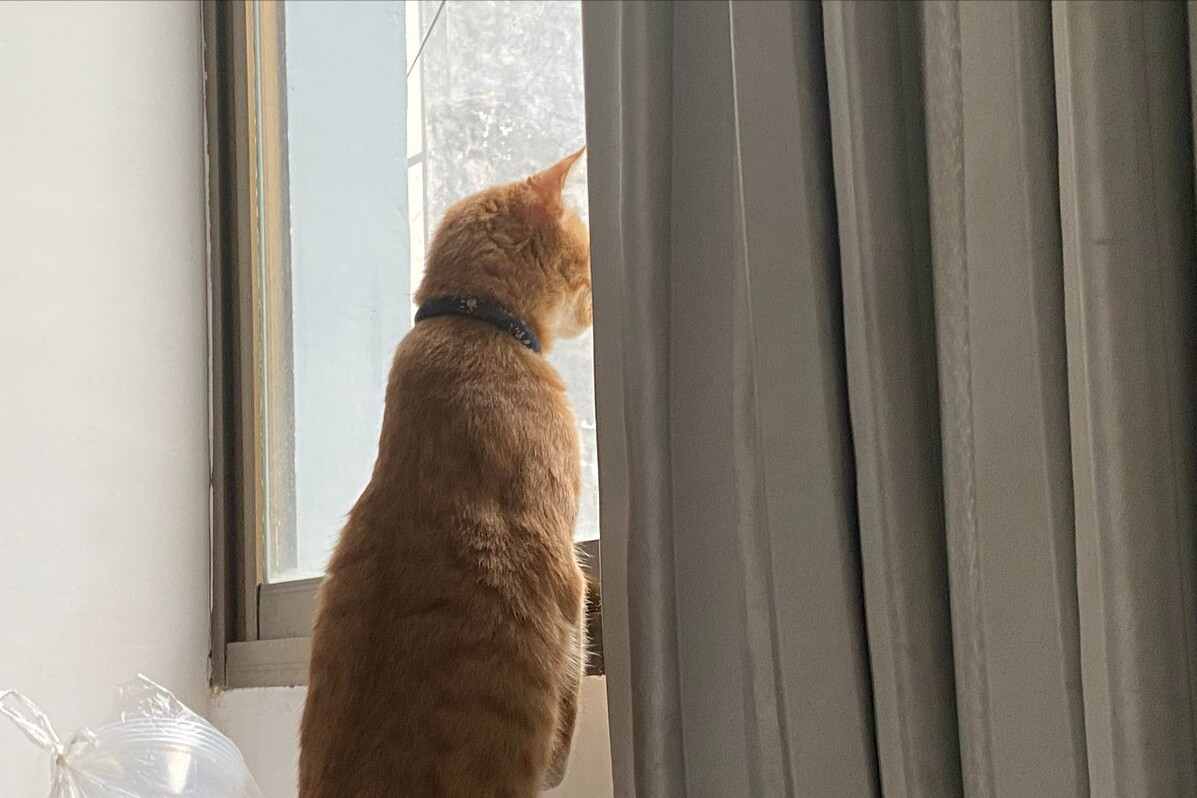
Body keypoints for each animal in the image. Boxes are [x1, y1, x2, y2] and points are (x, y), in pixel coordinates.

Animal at [298, 149, 591, 798]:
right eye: (586, 259)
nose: (595, 305)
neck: (471, 323)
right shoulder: (566, 567)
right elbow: (572, 675)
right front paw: (562, 762)